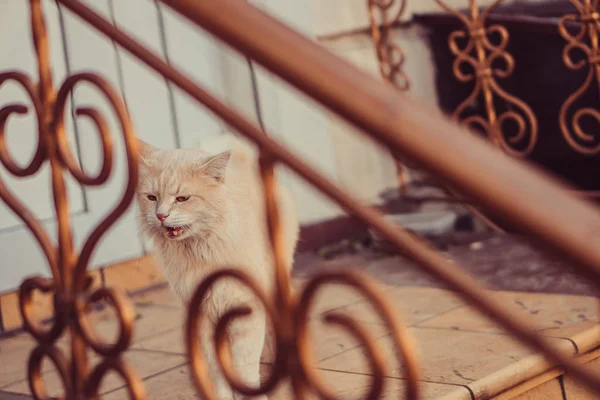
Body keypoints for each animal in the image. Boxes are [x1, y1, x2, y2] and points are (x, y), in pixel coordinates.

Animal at [134, 136, 298, 398]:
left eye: (182, 199)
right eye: (151, 198)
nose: (160, 216)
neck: (200, 251)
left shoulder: (246, 309)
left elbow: (245, 366)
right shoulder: (204, 316)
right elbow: (217, 369)